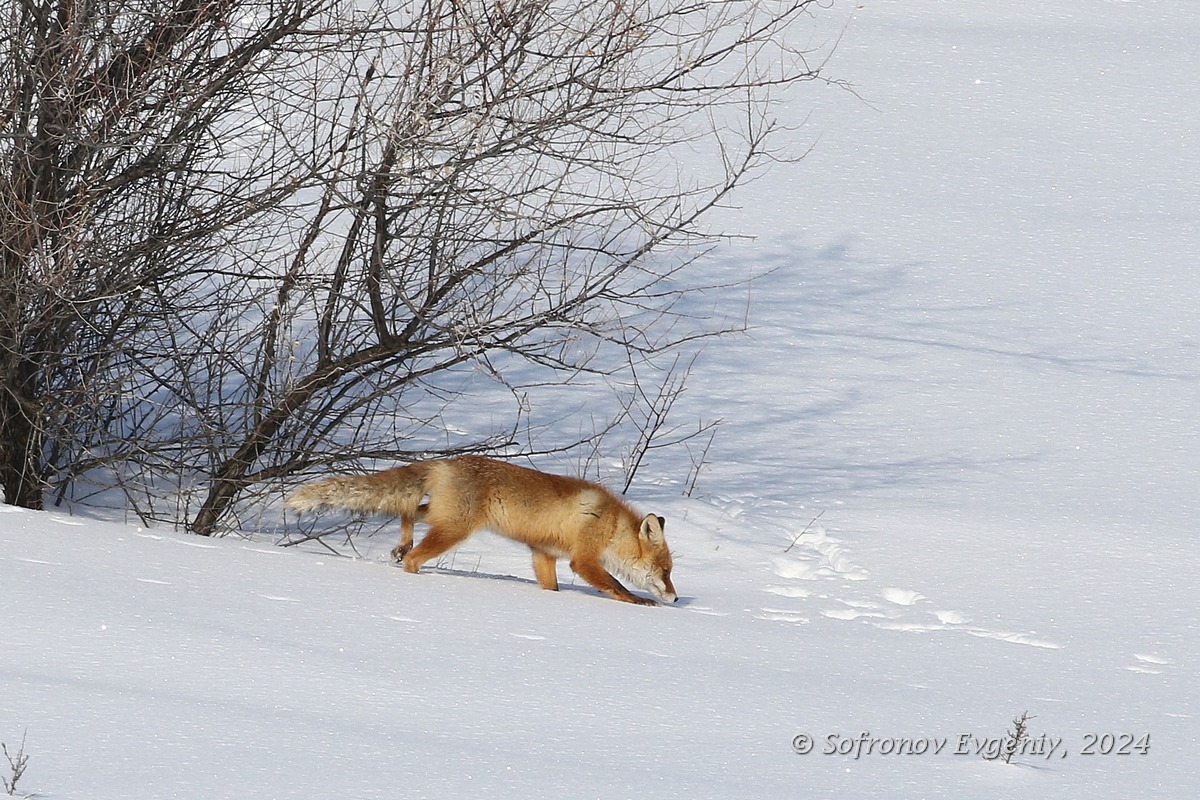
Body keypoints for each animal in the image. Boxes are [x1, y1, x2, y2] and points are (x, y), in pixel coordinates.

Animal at [283, 455, 676, 606]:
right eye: (666, 571)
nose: (674, 598)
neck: (610, 524)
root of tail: (445, 461)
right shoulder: (583, 559)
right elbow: (616, 585)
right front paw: (642, 602)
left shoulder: (543, 553)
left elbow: (550, 587)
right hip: (455, 528)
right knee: (414, 556)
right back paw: (414, 572)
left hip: (442, 517)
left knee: (408, 512)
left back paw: (401, 545)